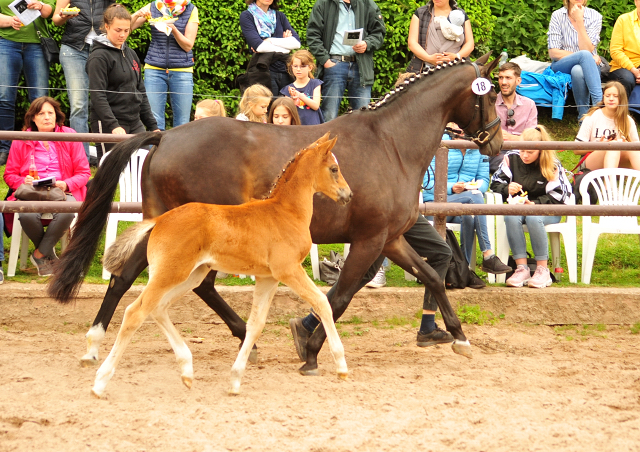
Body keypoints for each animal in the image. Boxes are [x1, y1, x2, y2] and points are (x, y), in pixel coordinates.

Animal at [96, 134, 350, 396]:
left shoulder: (268, 278)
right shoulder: (288, 270)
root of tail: (160, 220)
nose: (348, 194)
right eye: (334, 169)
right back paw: (100, 381)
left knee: (158, 308)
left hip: (192, 275)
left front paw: (236, 380)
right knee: (135, 312)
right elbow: (322, 303)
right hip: (169, 274)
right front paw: (341, 366)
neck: (285, 212)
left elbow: (256, 324)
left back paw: (186, 371)